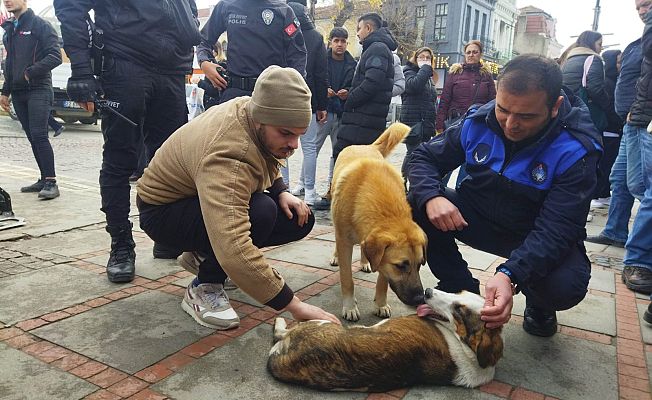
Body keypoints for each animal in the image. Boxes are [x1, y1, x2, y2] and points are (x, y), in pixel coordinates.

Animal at [266, 290, 504, 392]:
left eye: (459, 311)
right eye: (459, 292)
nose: (426, 291)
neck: (467, 349)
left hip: (319, 322)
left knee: (280, 331)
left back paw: (279, 320)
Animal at [328, 122, 426, 322]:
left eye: (420, 264)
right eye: (401, 266)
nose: (420, 299)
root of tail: (367, 145)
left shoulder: (382, 257)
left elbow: (383, 280)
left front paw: (380, 304)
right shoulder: (345, 243)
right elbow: (347, 279)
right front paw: (349, 306)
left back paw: (365, 262)